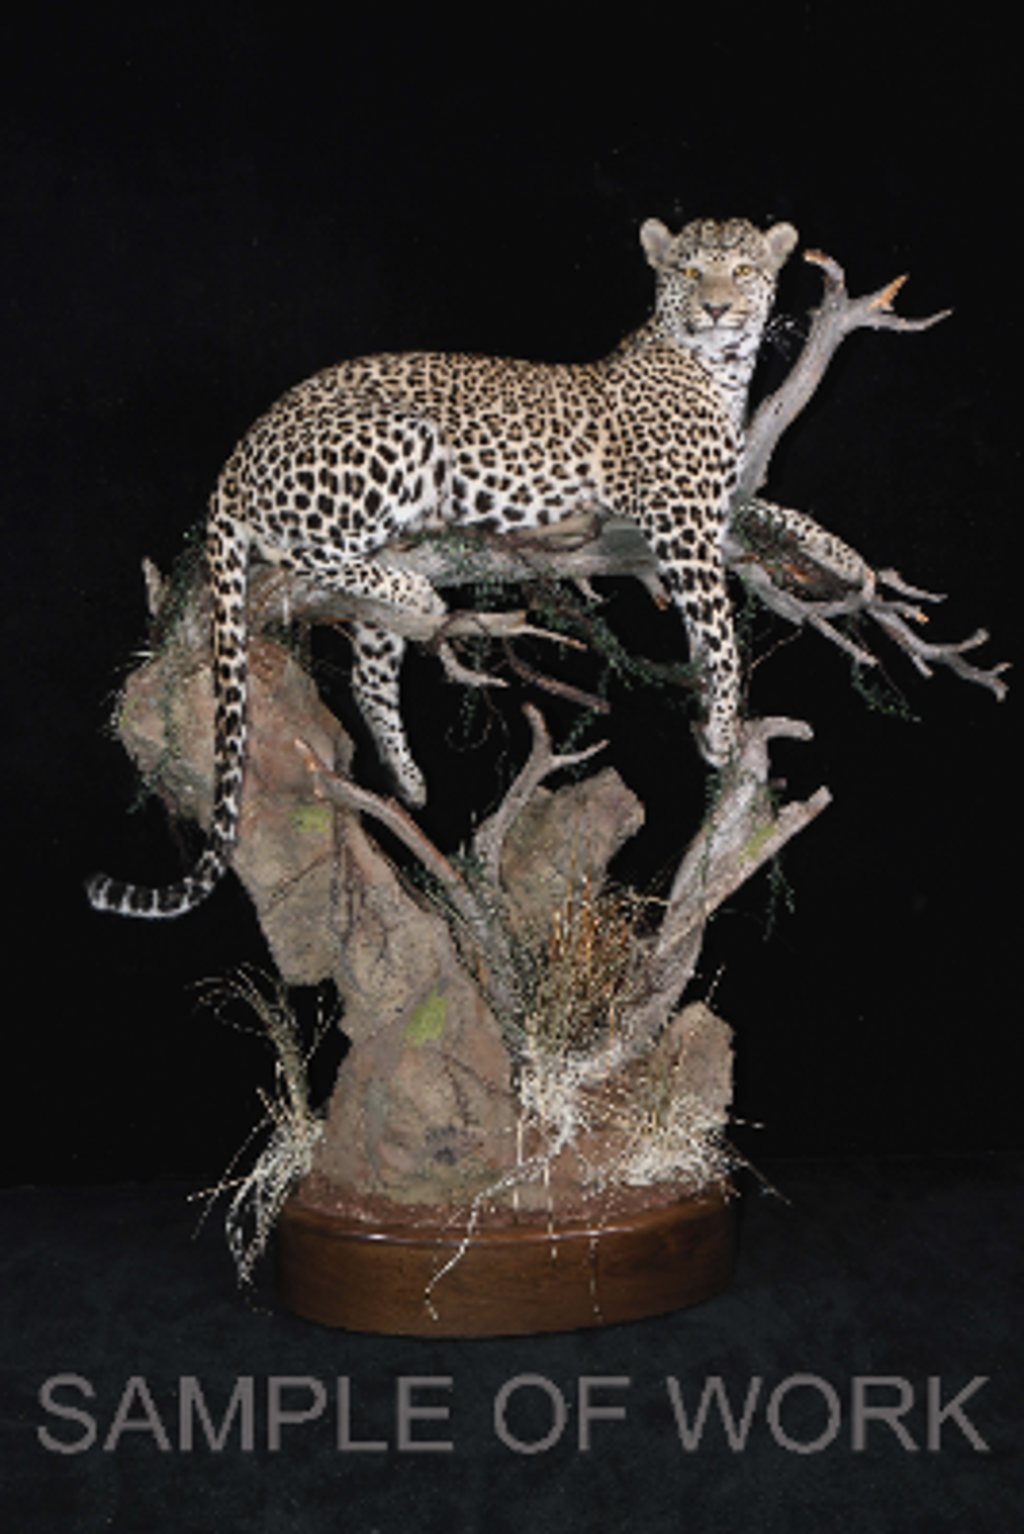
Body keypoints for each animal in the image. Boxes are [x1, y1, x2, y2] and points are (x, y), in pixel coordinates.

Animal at [86, 214, 799, 918]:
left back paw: (406, 775)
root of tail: (236, 456)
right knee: (304, 556)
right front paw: (724, 728)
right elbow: (722, 632)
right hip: (403, 434)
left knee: (366, 666)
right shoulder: (681, 523)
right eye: (689, 270)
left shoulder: (708, 514)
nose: (716, 308)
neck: (720, 369)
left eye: (742, 270)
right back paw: (418, 595)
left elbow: (759, 545)